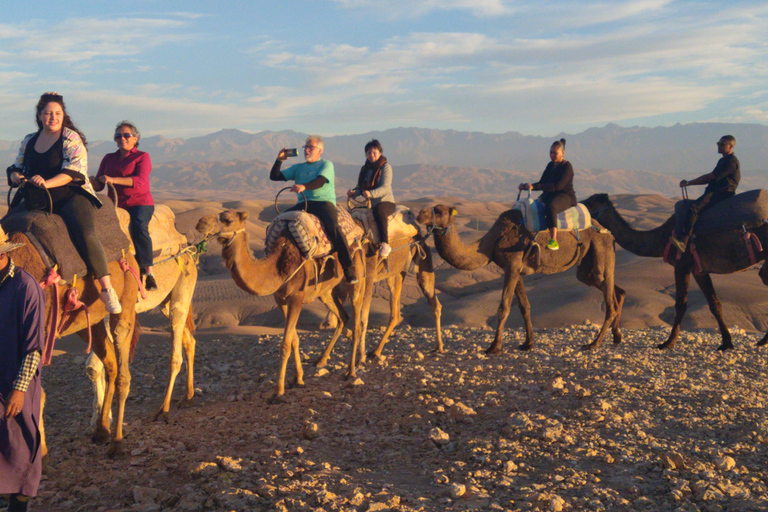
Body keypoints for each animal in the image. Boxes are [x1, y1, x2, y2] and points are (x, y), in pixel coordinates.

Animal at [6, 94, 123, 314]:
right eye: (48, 113)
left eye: (57, 113)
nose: (54, 118)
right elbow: (16, 167)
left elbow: (70, 169)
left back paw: (111, 301)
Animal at [6, 230, 140, 458]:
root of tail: (130, 255)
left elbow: (36, 393)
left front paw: (42, 453)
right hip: (88, 323)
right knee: (110, 364)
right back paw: (102, 431)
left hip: (126, 303)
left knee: (123, 371)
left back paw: (117, 442)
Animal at [196, 210, 368, 402]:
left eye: (228, 219)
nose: (201, 223)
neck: (277, 267)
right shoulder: (280, 299)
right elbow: (294, 339)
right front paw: (298, 379)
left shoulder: (296, 298)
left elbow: (285, 343)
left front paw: (278, 390)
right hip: (325, 291)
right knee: (343, 316)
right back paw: (321, 360)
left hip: (357, 275)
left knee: (357, 321)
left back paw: (350, 371)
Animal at [414, 204, 624, 352]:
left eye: (439, 210)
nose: (420, 214)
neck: (490, 243)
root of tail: (608, 232)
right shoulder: (516, 269)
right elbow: (524, 306)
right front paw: (528, 343)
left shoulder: (512, 265)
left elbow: (504, 307)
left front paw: (494, 347)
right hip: (586, 264)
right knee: (614, 290)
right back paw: (616, 336)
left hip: (601, 247)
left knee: (609, 298)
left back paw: (594, 343)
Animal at [584, 193, 768, 352]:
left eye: (591, 203)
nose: (579, 204)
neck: (663, 237)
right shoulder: (698, 270)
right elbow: (714, 304)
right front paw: (726, 343)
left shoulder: (681, 265)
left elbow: (680, 304)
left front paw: (667, 343)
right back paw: (762, 341)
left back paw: (763, 341)